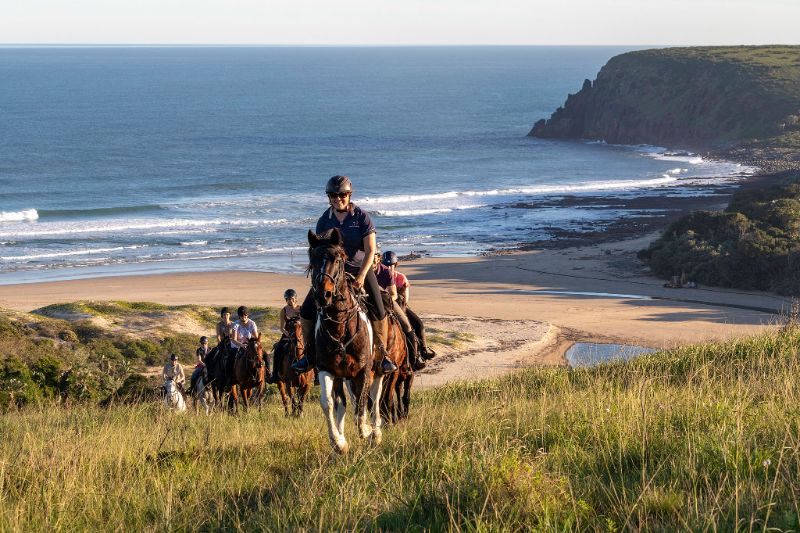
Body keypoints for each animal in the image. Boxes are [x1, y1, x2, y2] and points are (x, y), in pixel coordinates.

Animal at [308, 229, 386, 454]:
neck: (341, 326)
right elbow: (328, 403)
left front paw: (367, 432)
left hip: (377, 369)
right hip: (342, 376)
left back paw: (376, 432)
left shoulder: (364, 371)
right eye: (313, 260)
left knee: (374, 398)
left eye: (337, 259)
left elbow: (362, 404)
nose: (323, 295)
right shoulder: (327, 369)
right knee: (342, 403)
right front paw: (338, 442)